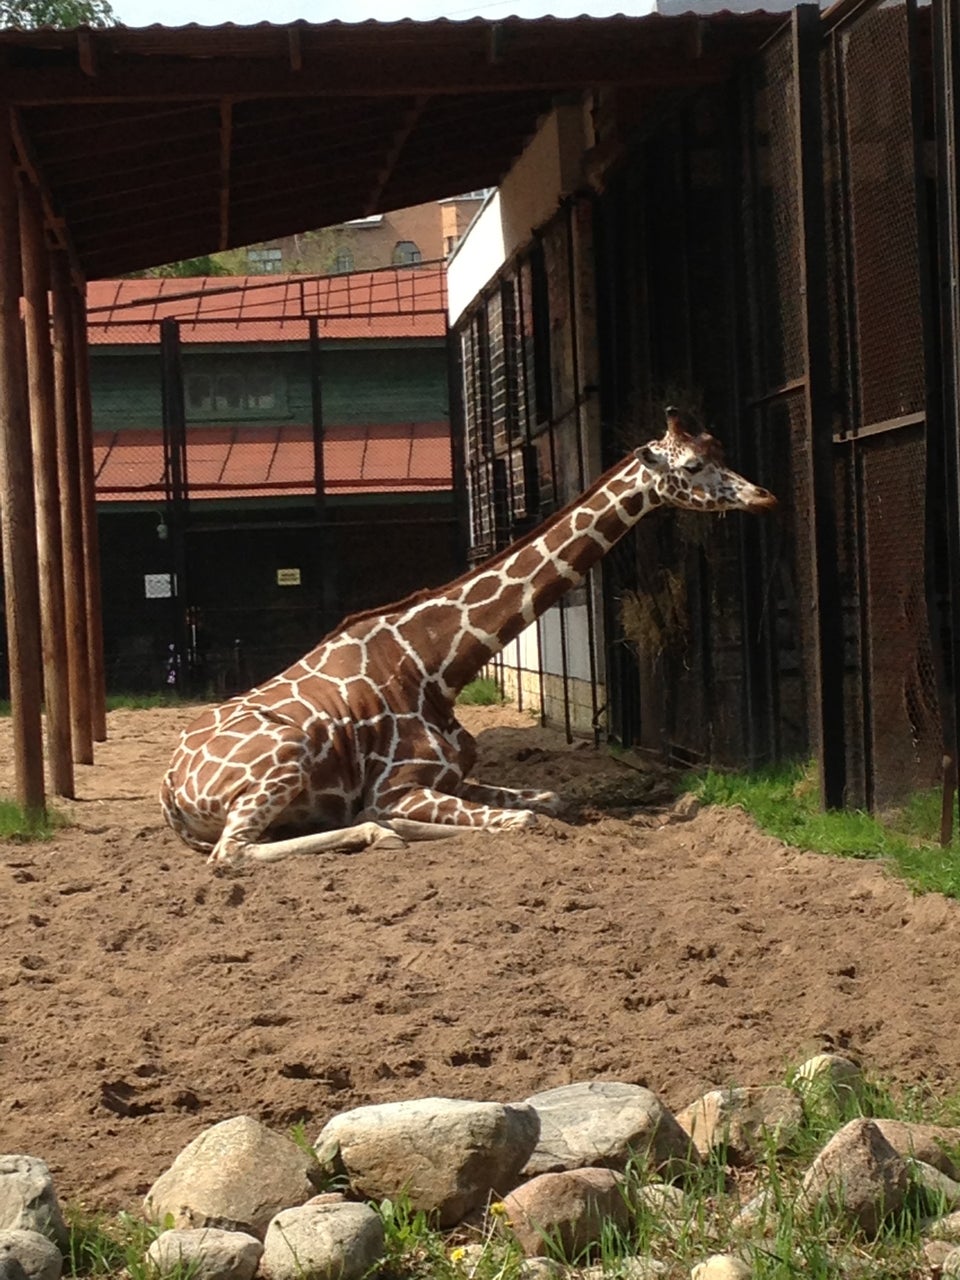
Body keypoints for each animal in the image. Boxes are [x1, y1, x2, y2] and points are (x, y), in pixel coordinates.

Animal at [161, 407, 778, 870]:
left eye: (721, 450)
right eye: (694, 465)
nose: (763, 497)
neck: (436, 664)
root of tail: (168, 788)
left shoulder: (456, 778)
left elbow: (551, 797)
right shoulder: (399, 786)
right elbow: (522, 818)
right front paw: (386, 823)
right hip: (285, 755)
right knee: (229, 854)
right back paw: (377, 832)